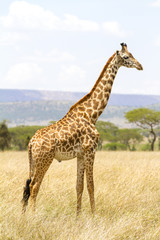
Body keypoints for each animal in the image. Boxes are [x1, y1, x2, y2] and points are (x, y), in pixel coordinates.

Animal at [21, 42, 142, 214]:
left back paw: (24, 216)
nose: (140, 66)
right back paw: (33, 216)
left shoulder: (80, 154)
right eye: (126, 57)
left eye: (132, 54)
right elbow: (91, 185)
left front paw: (78, 216)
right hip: (45, 159)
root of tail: (31, 142)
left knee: (26, 186)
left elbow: (79, 186)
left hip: (33, 161)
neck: (91, 114)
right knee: (34, 185)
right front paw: (93, 215)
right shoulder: (91, 150)